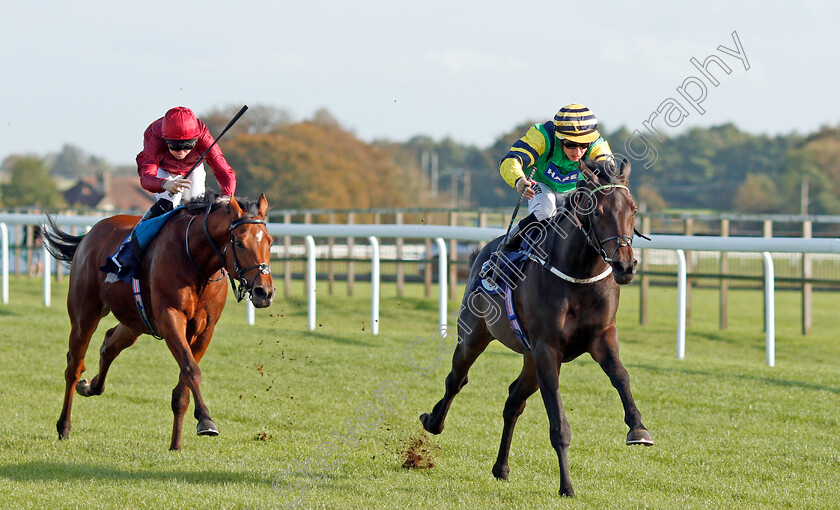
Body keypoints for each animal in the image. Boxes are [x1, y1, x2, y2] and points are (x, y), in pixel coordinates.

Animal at [43, 192, 276, 450]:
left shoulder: (205, 330)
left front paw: (176, 443)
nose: (264, 292)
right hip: (85, 313)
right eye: (240, 243)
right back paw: (64, 426)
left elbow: (183, 386)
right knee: (74, 365)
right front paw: (205, 419)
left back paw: (90, 386)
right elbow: (191, 369)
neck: (196, 262)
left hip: (134, 321)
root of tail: (91, 233)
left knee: (109, 344)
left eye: (270, 242)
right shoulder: (170, 318)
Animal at [418, 158, 648, 494]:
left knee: (513, 401)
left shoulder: (602, 337)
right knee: (456, 379)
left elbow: (621, 376)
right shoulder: (547, 350)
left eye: (633, 209)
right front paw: (567, 486)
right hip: (475, 335)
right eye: (598, 211)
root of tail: (482, 252)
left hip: (529, 359)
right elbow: (558, 423)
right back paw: (433, 421)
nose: (625, 265)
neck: (578, 274)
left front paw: (638, 428)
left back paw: (501, 467)